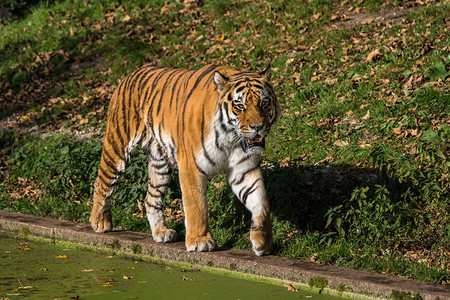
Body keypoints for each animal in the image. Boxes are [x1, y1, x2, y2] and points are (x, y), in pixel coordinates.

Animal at [89, 63, 280, 255]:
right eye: (240, 106)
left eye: (264, 103)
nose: (257, 127)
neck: (230, 138)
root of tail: (131, 74)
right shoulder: (191, 166)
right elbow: (196, 207)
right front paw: (200, 241)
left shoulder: (244, 169)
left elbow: (261, 202)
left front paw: (262, 241)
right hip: (118, 147)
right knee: (102, 182)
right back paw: (100, 222)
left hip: (160, 164)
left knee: (151, 198)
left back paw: (161, 232)